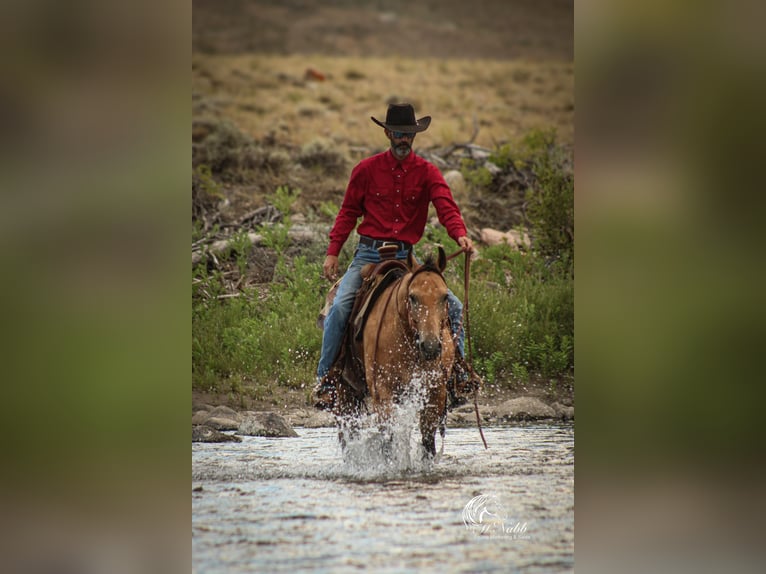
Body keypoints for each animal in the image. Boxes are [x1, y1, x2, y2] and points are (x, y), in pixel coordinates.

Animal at [334, 246, 455, 458]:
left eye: (444, 297)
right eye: (413, 297)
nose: (430, 346)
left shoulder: (435, 391)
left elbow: (428, 442)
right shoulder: (383, 392)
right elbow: (388, 440)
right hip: (345, 391)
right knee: (348, 435)